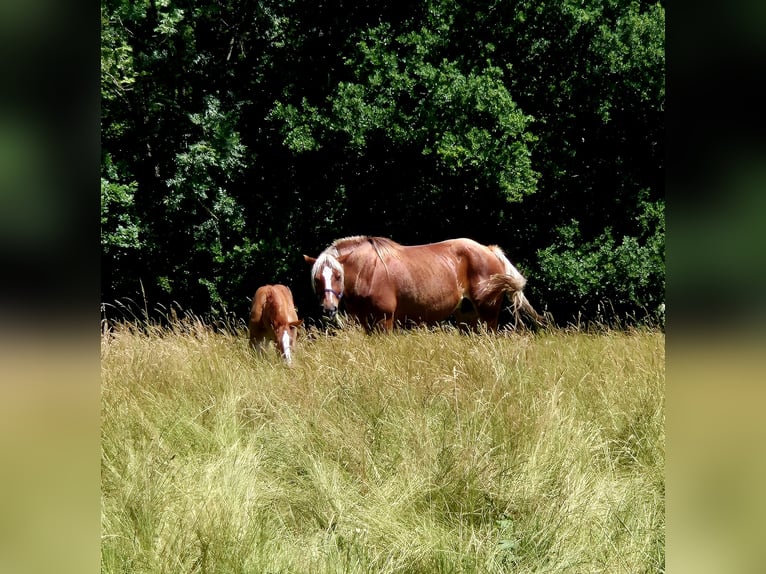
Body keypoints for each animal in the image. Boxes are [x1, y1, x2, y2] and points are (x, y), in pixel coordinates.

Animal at [303, 236, 544, 333]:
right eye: (317, 279)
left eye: (337, 275)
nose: (329, 308)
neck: (368, 271)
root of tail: (489, 250)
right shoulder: (366, 323)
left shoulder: (384, 321)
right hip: (467, 316)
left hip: (488, 314)